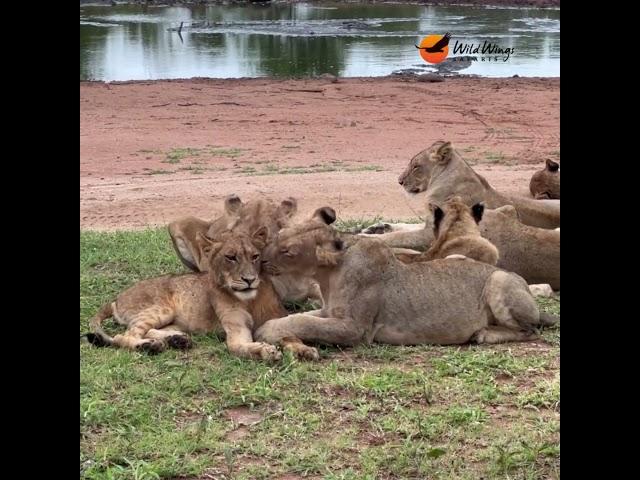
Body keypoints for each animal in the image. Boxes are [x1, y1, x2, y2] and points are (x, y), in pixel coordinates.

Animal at [84, 228, 282, 360]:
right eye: (230, 257)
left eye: (255, 256)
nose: (249, 280)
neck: (249, 300)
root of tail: (116, 299)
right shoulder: (236, 327)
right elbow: (236, 346)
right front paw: (266, 351)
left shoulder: (277, 315)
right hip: (161, 309)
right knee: (124, 336)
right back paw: (150, 346)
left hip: (176, 321)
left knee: (149, 330)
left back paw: (177, 340)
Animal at [252, 208, 556, 358]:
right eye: (278, 234)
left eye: (287, 251)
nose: (260, 261)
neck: (327, 275)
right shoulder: (329, 311)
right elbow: (301, 316)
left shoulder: (355, 329)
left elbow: (305, 322)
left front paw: (267, 330)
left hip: (499, 279)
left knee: (531, 331)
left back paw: (483, 334)